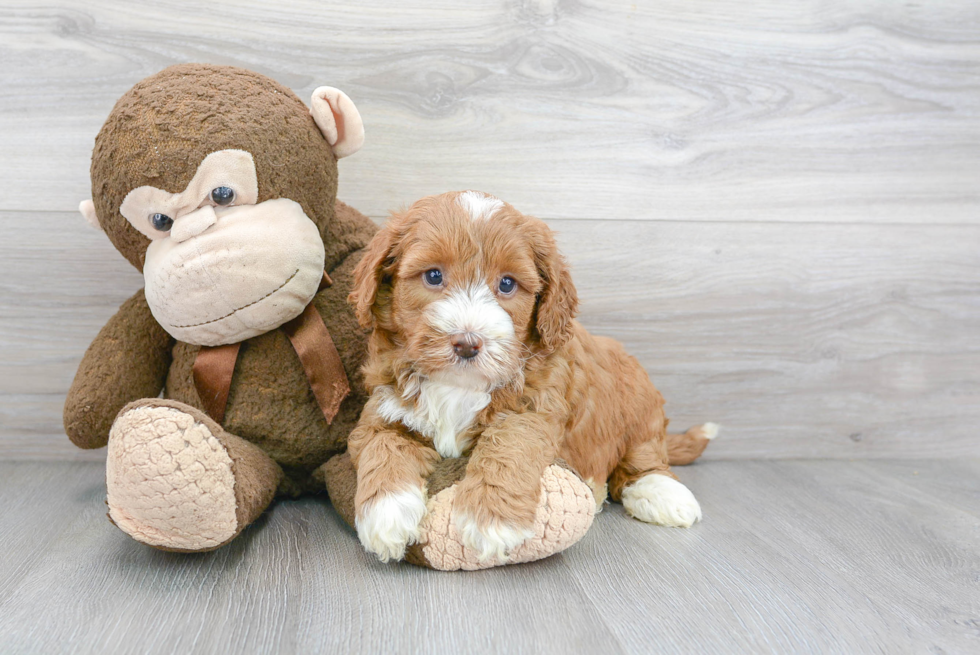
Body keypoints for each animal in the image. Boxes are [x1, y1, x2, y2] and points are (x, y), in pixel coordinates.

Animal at [346, 191, 712, 564]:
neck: (458, 385)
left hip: (639, 405)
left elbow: (509, 444)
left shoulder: (533, 409)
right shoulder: (385, 409)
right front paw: (386, 516)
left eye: (507, 284)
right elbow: (382, 446)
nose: (467, 344)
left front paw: (490, 517)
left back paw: (664, 495)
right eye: (433, 276)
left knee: (644, 458)